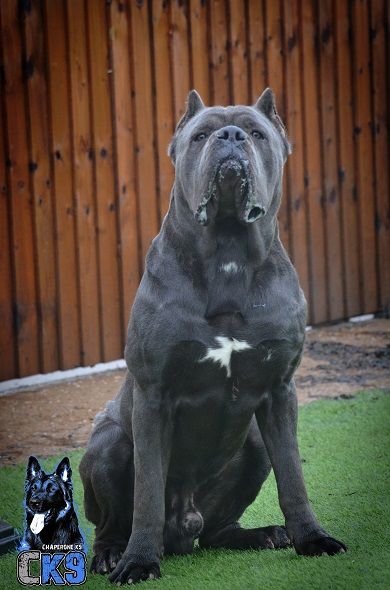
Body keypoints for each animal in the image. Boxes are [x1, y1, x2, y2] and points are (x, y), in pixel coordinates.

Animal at [78, 89, 344, 588]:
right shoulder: (152, 397)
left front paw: (312, 538)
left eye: (257, 133)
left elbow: (294, 479)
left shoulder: (280, 390)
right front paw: (139, 561)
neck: (228, 253)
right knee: (110, 521)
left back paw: (263, 534)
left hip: (253, 446)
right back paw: (112, 553)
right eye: (200, 135)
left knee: (219, 530)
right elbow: (146, 493)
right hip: (108, 444)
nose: (232, 136)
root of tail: (184, 526)